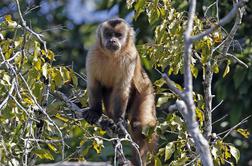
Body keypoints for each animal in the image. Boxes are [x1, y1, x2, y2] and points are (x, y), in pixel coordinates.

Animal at [85, 18, 156, 166]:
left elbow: (122, 89)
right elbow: (94, 84)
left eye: (118, 35)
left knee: (138, 125)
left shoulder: (131, 57)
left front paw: (119, 121)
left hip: (147, 91)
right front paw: (95, 112)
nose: (112, 40)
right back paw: (109, 122)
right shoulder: (92, 54)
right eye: (108, 34)